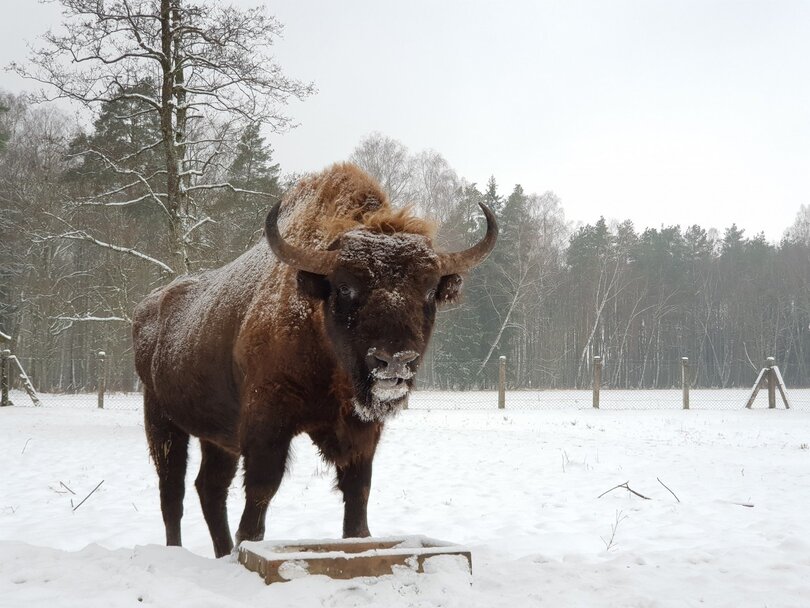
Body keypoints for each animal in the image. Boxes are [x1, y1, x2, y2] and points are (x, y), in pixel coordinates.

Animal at [132, 162, 496, 556]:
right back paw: (177, 550)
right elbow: (261, 493)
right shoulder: (267, 420)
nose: (394, 360)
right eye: (346, 288)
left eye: (429, 291)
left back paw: (222, 551)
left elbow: (357, 496)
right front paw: (248, 546)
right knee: (173, 492)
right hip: (162, 420)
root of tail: (148, 306)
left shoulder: (360, 432)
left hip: (217, 436)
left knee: (209, 488)